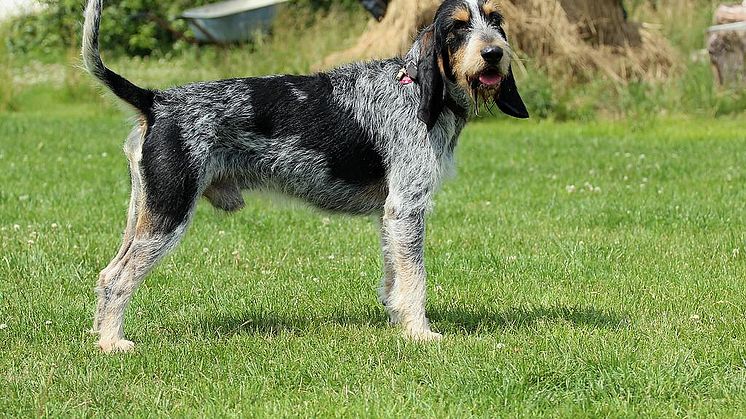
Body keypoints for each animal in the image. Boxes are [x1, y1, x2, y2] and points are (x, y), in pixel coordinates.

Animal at [81, 0, 528, 354]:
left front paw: (398, 323)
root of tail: (156, 100)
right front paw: (420, 334)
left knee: (106, 275)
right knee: (119, 279)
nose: (493, 53)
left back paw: (99, 336)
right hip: (168, 217)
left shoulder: (392, 215)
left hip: (144, 214)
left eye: (495, 20)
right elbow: (415, 280)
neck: (418, 91)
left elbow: (395, 278)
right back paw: (112, 344)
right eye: (458, 27)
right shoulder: (407, 208)